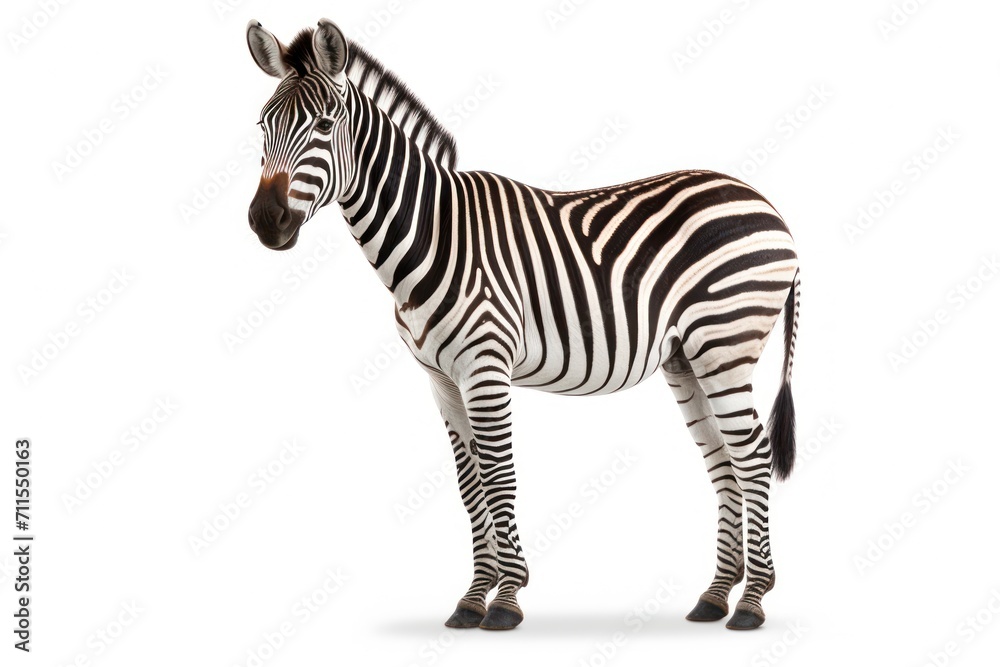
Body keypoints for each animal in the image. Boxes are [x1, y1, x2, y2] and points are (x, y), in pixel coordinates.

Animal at [245, 19, 801, 631]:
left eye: (323, 126)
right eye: (263, 126)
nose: (265, 222)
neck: (432, 233)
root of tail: (767, 204)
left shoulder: (486, 367)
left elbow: (499, 473)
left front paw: (507, 599)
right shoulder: (441, 379)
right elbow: (469, 484)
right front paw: (473, 597)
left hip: (726, 343)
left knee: (753, 457)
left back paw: (752, 603)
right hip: (688, 358)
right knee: (724, 463)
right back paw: (716, 596)